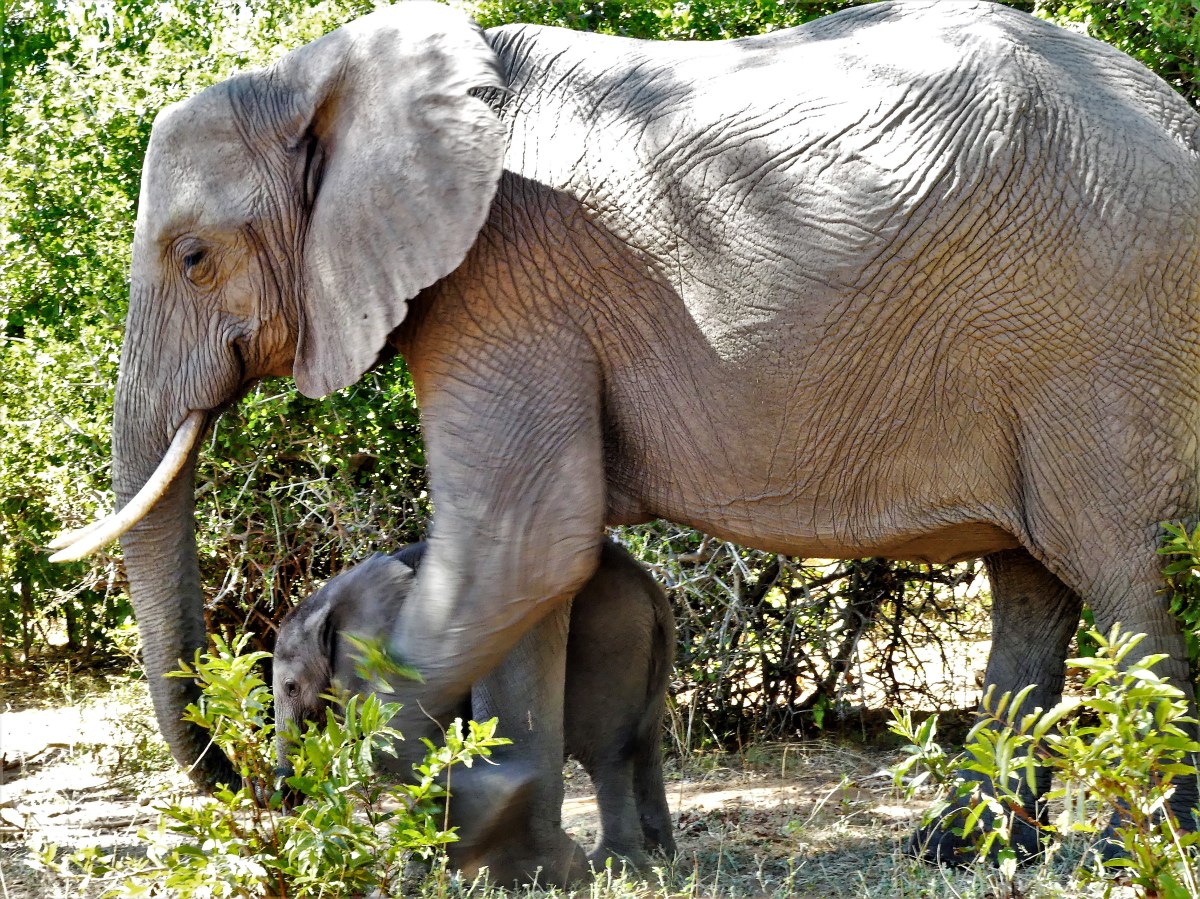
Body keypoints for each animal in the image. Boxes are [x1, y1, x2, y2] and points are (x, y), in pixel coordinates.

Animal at [272, 539, 677, 878]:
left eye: (291, 687)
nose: (282, 799)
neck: (335, 597)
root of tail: (652, 590)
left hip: (608, 639)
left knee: (603, 753)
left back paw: (613, 866)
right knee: (643, 746)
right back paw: (659, 859)